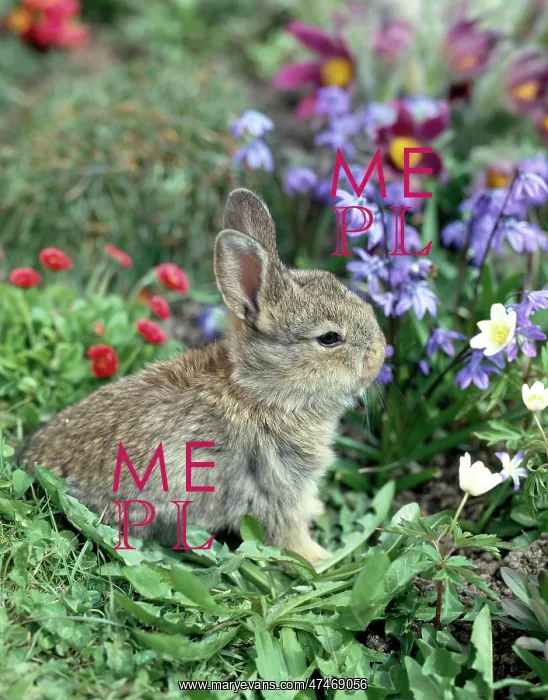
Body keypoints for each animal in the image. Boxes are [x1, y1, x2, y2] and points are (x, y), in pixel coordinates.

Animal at [20, 188, 386, 566]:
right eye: (329, 338)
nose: (380, 352)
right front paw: (320, 559)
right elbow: (287, 532)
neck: (260, 392)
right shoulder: (275, 488)